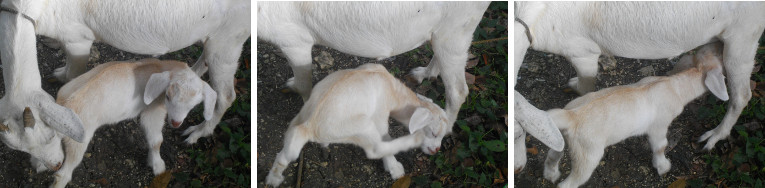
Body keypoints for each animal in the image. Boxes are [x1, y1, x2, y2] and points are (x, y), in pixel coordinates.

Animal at [0, 0, 248, 168]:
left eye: (51, 136)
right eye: (18, 149)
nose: (56, 165)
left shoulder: (77, 39)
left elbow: (73, 74)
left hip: (229, 38)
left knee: (227, 95)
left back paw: (197, 133)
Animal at [256, 1, 490, 127]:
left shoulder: (293, 40)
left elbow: (305, 82)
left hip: (457, 26)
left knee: (458, 91)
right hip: (446, 31)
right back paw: (423, 74)